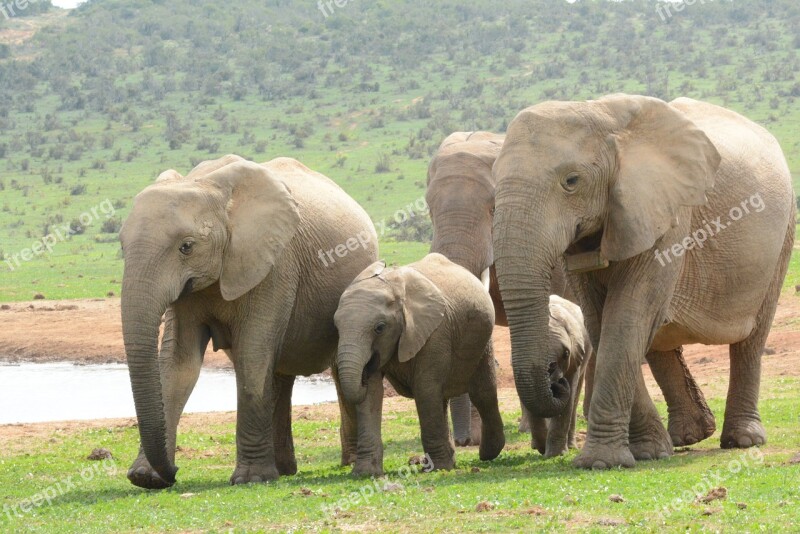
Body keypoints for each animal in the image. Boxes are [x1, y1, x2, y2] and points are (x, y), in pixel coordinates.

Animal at [120, 155, 380, 490]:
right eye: (122, 247)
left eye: (186, 246)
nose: (174, 473)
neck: (208, 187)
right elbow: (179, 364)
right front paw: (146, 478)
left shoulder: (274, 264)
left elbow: (252, 356)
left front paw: (251, 479)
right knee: (279, 377)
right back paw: (284, 469)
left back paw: (343, 463)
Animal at [334, 253, 504, 476]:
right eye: (336, 327)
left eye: (380, 328)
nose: (366, 369)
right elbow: (371, 394)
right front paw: (364, 473)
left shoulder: (435, 333)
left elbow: (425, 389)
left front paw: (437, 469)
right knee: (443, 398)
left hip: (483, 338)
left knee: (482, 392)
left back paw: (486, 454)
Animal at [524, 296, 592, 458]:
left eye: (566, 353)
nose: (558, 381)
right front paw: (541, 447)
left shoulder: (575, 357)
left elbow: (568, 399)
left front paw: (556, 455)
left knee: (574, 397)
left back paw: (571, 446)